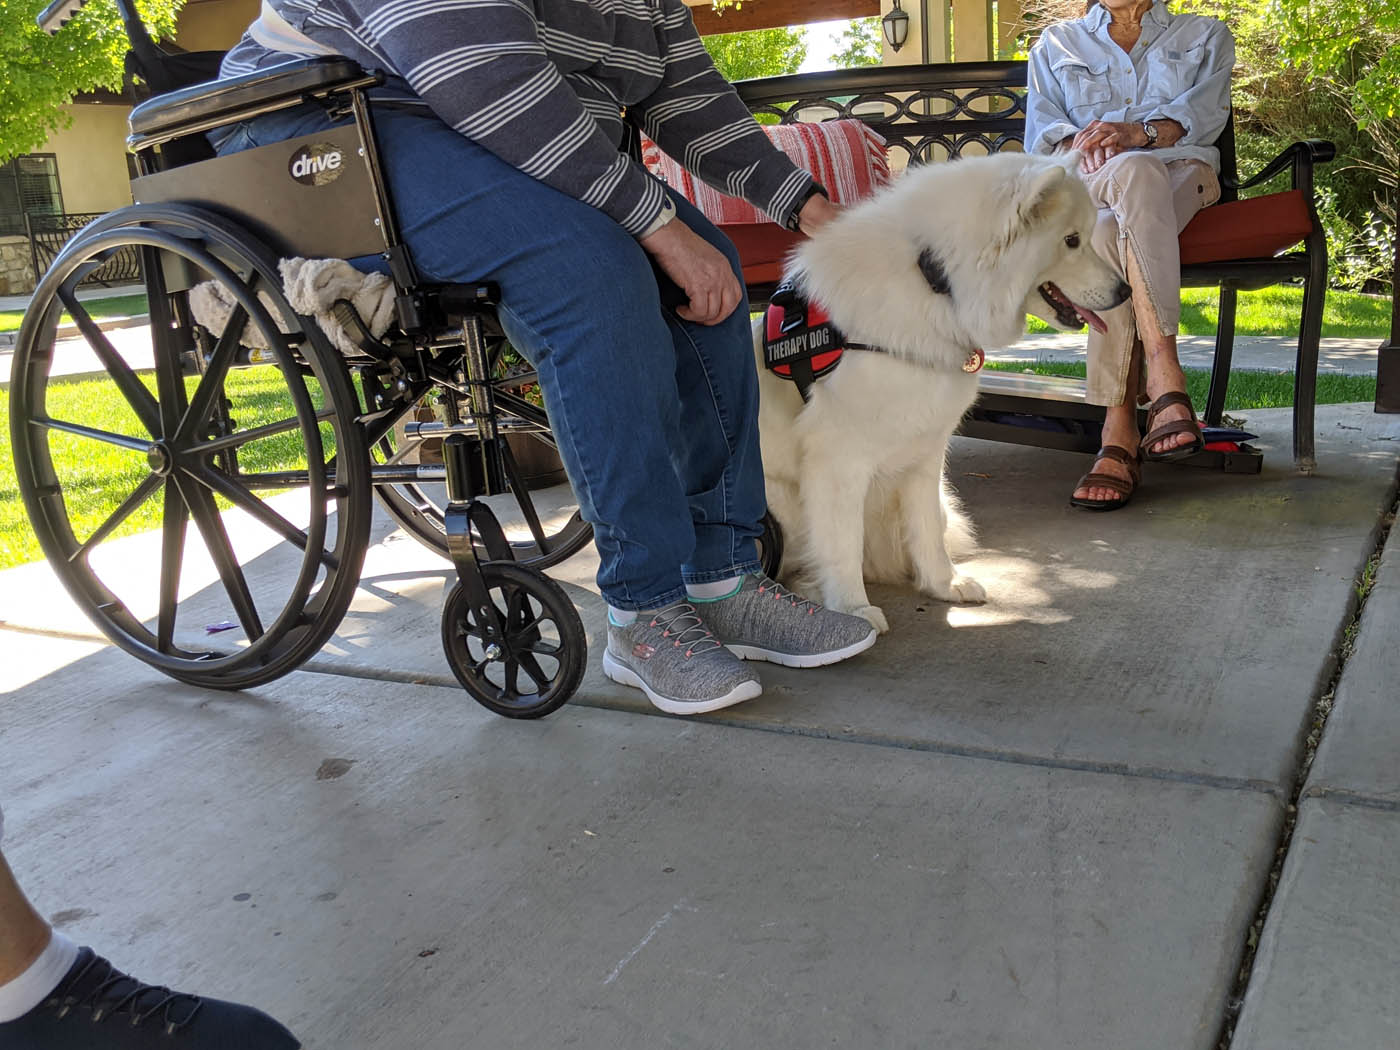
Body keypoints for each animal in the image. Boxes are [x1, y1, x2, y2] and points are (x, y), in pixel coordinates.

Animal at [761, 149, 1131, 632]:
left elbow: (926, 529)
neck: (936, 284)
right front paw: (853, 610)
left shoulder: (925, 452)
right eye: (1071, 240)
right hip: (777, 501)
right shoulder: (837, 460)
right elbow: (840, 544)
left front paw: (943, 584)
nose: (1126, 290)